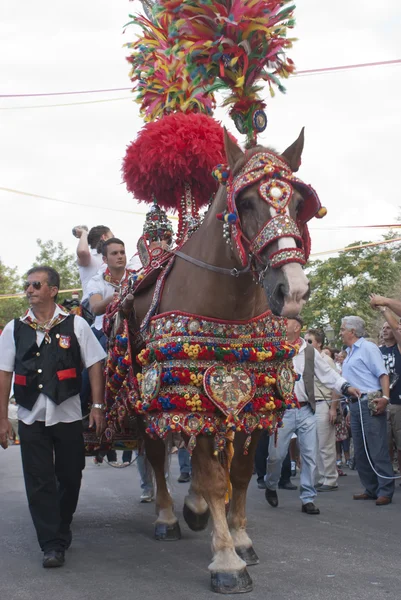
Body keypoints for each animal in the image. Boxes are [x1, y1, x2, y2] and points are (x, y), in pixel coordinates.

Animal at [120, 129, 310, 592]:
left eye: (298, 203)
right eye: (246, 203)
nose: (292, 290)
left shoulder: (254, 396)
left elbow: (237, 472)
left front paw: (240, 538)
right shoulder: (199, 392)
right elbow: (211, 475)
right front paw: (226, 561)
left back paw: (194, 509)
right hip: (149, 397)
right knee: (157, 455)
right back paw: (167, 516)